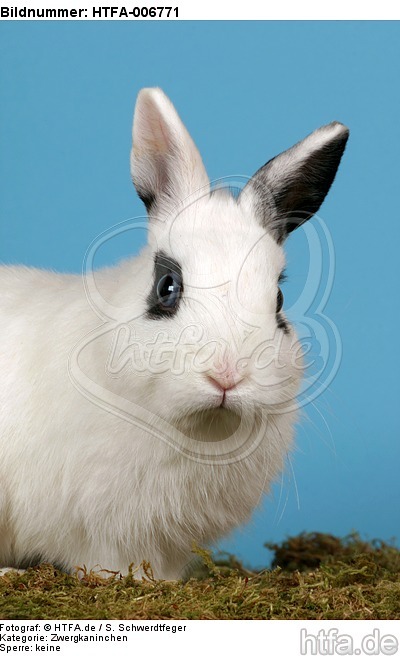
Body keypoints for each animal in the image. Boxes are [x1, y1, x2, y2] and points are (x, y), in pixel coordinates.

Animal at [0, 88, 349, 579]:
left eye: (278, 300)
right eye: (167, 286)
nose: (227, 376)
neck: (196, 426)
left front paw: (163, 584)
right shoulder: (98, 527)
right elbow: (106, 562)